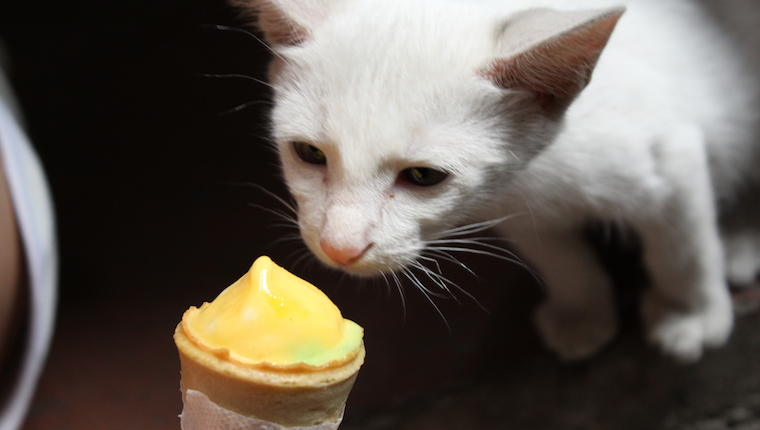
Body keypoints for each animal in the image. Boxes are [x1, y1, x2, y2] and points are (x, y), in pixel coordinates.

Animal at [235, 0, 756, 362]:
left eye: (424, 176)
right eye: (309, 153)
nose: (339, 247)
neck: (532, 177)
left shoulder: (670, 155)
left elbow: (681, 251)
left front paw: (688, 312)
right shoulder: (515, 208)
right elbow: (558, 257)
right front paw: (583, 313)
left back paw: (738, 241)